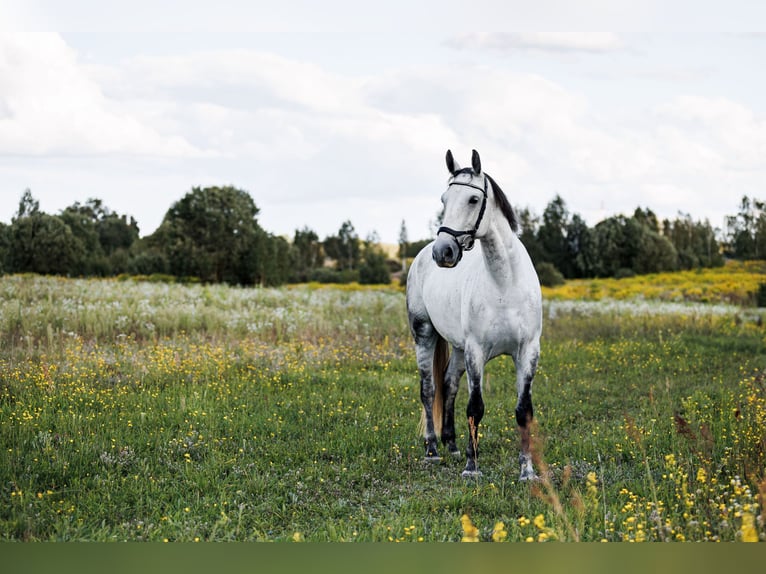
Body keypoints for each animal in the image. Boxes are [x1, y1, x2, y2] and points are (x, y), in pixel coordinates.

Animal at [404, 150, 544, 482]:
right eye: (444, 198)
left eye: (472, 199)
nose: (443, 252)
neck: (505, 282)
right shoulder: (476, 351)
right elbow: (476, 407)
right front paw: (472, 466)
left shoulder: (528, 351)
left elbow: (524, 410)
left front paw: (527, 471)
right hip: (424, 334)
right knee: (429, 390)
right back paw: (433, 450)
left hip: (456, 347)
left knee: (448, 385)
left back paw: (452, 445)